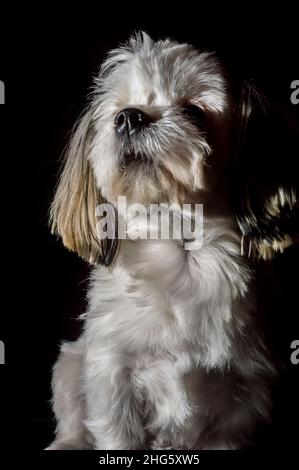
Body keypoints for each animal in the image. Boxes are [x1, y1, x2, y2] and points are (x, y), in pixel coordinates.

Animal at [46, 31, 298, 450]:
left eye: (195, 112)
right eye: (116, 112)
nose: (129, 117)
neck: (181, 253)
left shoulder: (243, 398)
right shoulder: (111, 376)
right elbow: (117, 434)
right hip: (70, 364)